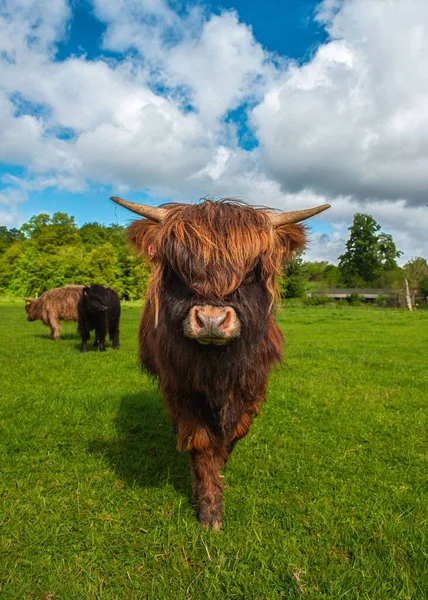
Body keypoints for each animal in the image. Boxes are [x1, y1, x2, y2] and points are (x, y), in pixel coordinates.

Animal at [111, 196, 332, 528]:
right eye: (179, 271)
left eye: (252, 271)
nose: (212, 320)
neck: (218, 366)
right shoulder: (181, 387)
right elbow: (202, 443)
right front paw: (209, 508)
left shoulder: (251, 387)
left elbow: (234, 433)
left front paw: (222, 464)